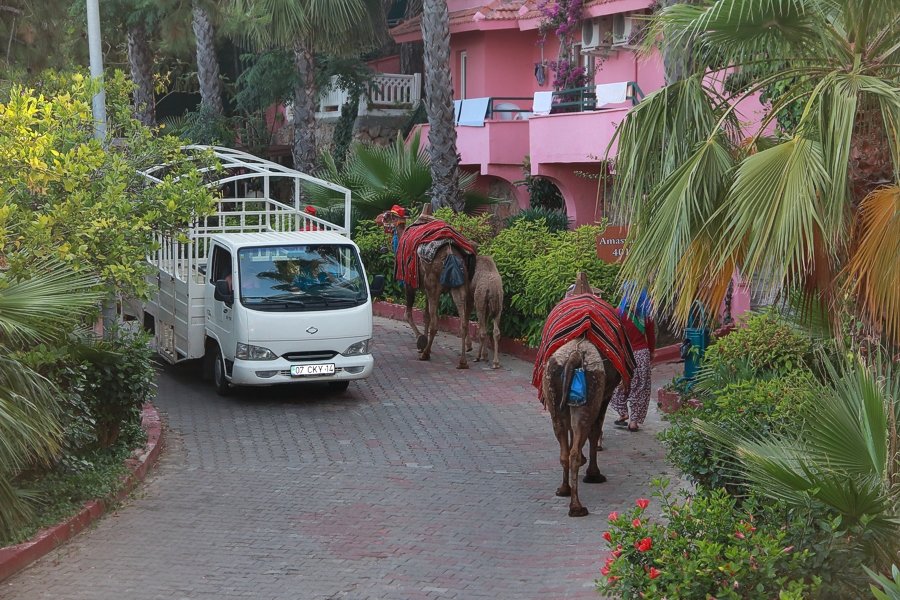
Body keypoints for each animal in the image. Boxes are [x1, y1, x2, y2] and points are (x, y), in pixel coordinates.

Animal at [532, 274, 636, 516]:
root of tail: (576, 356)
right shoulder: (605, 395)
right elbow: (595, 430)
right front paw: (594, 472)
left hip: (555, 397)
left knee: (564, 448)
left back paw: (564, 490)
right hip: (591, 395)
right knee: (578, 444)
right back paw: (578, 505)